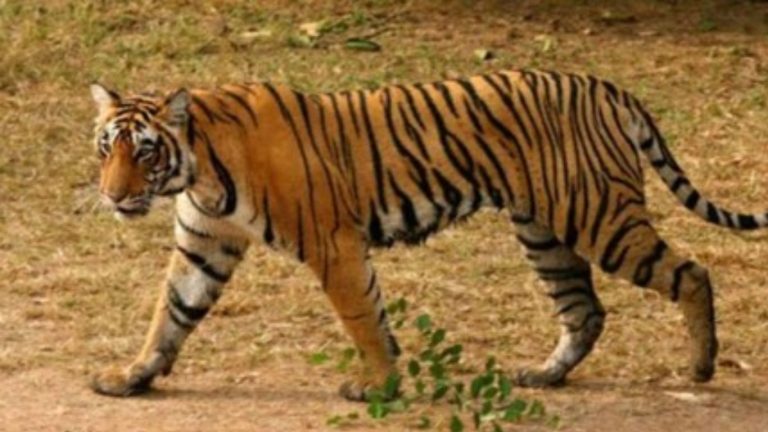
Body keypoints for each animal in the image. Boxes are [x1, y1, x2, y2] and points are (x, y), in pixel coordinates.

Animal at [88, 69, 767, 400]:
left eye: (145, 152)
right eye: (105, 147)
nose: (114, 196)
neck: (198, 170)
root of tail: (606, 87)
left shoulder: (333, 243)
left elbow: (362, 318)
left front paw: (378, 386)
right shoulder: (203, 244)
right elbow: (169, 316)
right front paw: (131, 377)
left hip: (601, 218)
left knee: (691, 273)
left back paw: (701, 367)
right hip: (545, 232)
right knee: (585, 310)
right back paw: (545, 376)